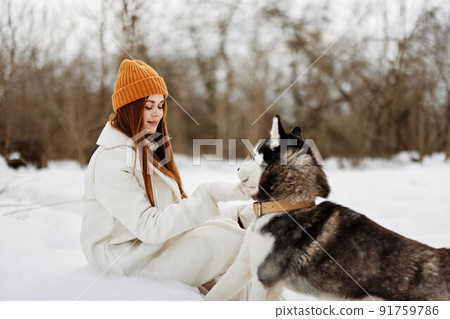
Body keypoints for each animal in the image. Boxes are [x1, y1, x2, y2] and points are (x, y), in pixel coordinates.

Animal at [206, 115, 448, 302]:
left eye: (255, 155)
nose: (237, 168)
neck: (287, 206)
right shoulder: (244, 266)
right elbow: (213, 296)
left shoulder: (264, 281)